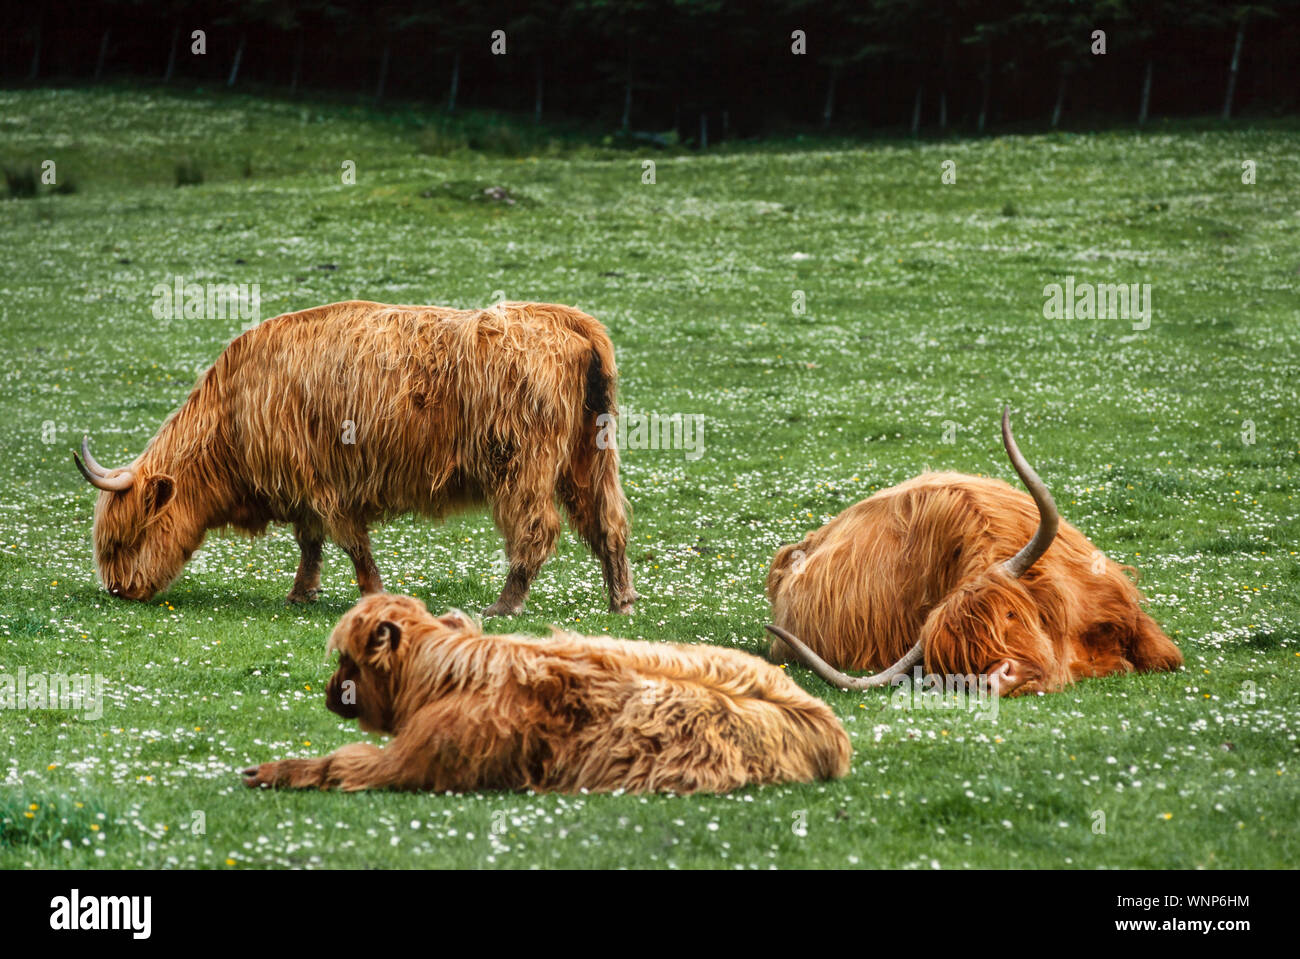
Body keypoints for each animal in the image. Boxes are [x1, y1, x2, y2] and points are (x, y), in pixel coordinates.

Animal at [72, 298, 639, 613]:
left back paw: (505, 605)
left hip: (522, 465)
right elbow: (310, 543)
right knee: (607, 523)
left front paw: (371, 594)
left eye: (125, 538)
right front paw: (301, 594)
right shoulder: (303, 487)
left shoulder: (325, 482)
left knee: (537, 529)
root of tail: (566, 320)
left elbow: (348, 543)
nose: (118, 590)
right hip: (589, 457)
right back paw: (621, 602)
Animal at [244, 589, 852, 790]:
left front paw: (271, 771)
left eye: (347, 659)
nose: (331, 691)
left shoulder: (418, 760)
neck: (441, 673)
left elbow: (344, 762)